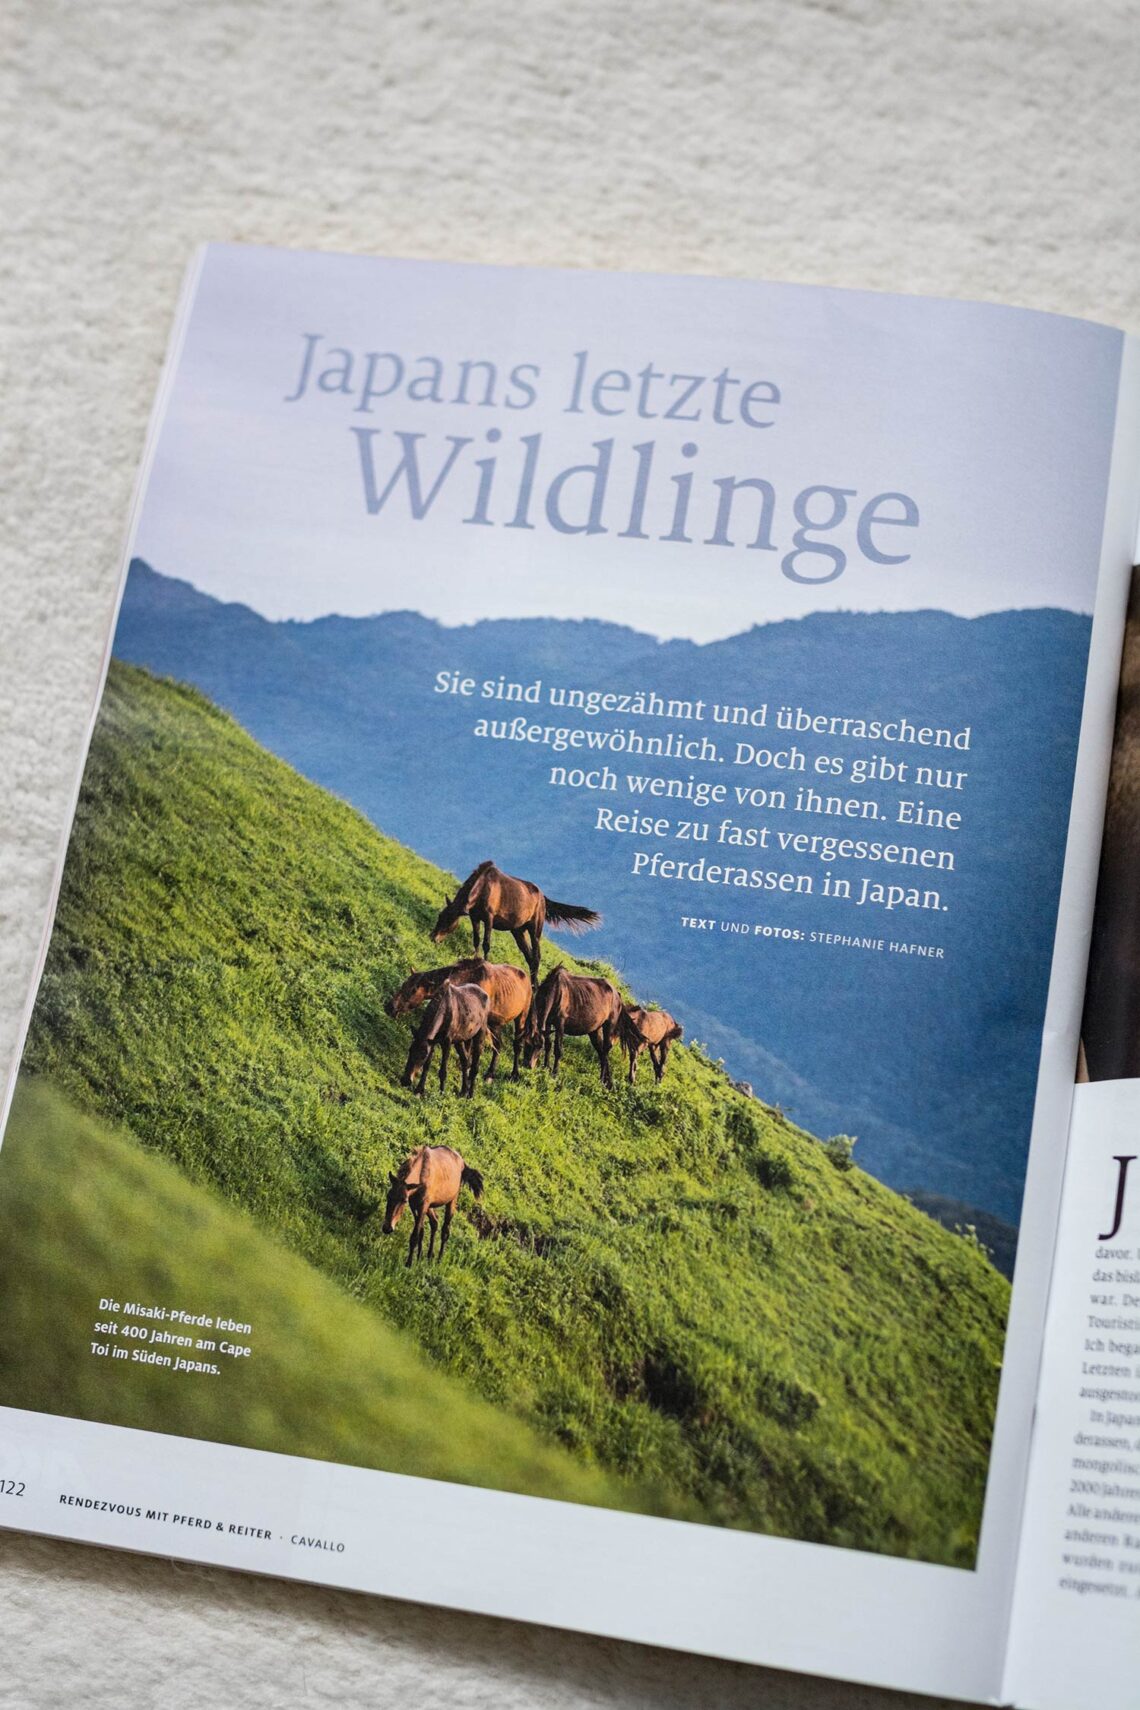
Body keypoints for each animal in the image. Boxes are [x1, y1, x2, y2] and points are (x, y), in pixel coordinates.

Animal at [386, 958, 533, 1080]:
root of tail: (528, 981)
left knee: (517, 1044)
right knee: (498, 1045)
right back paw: (490, 1074)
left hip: (521, 1017)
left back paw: (514, 1073)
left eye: (414, 990)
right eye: (404, 984)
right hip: (495, 1024)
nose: (390, 1007)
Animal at [431, 861, 601, 983]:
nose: (433, 937)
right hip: (518, 930)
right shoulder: (475, 917)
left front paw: (485, 963)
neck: (483, 886)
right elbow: (476, 940)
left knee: (536, 956)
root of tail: (543, 898)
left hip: (535, 929)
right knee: (529, 956)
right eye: (440, 916)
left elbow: (486, 943)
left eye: (449, 920)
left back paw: (535, 984)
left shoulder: (489, 918)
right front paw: (474, 959)